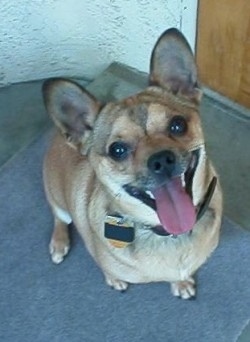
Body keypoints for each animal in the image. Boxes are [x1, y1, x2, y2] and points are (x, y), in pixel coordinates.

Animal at [42, 28, 223, 300]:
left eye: (178, 125)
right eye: (117, 150)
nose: (161, 159)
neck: (168, 233)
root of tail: (57, 137)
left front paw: (181, 283)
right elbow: (108, 271)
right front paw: (115, 280)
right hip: (57, 201)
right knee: (59, 218)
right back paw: (59, 242)